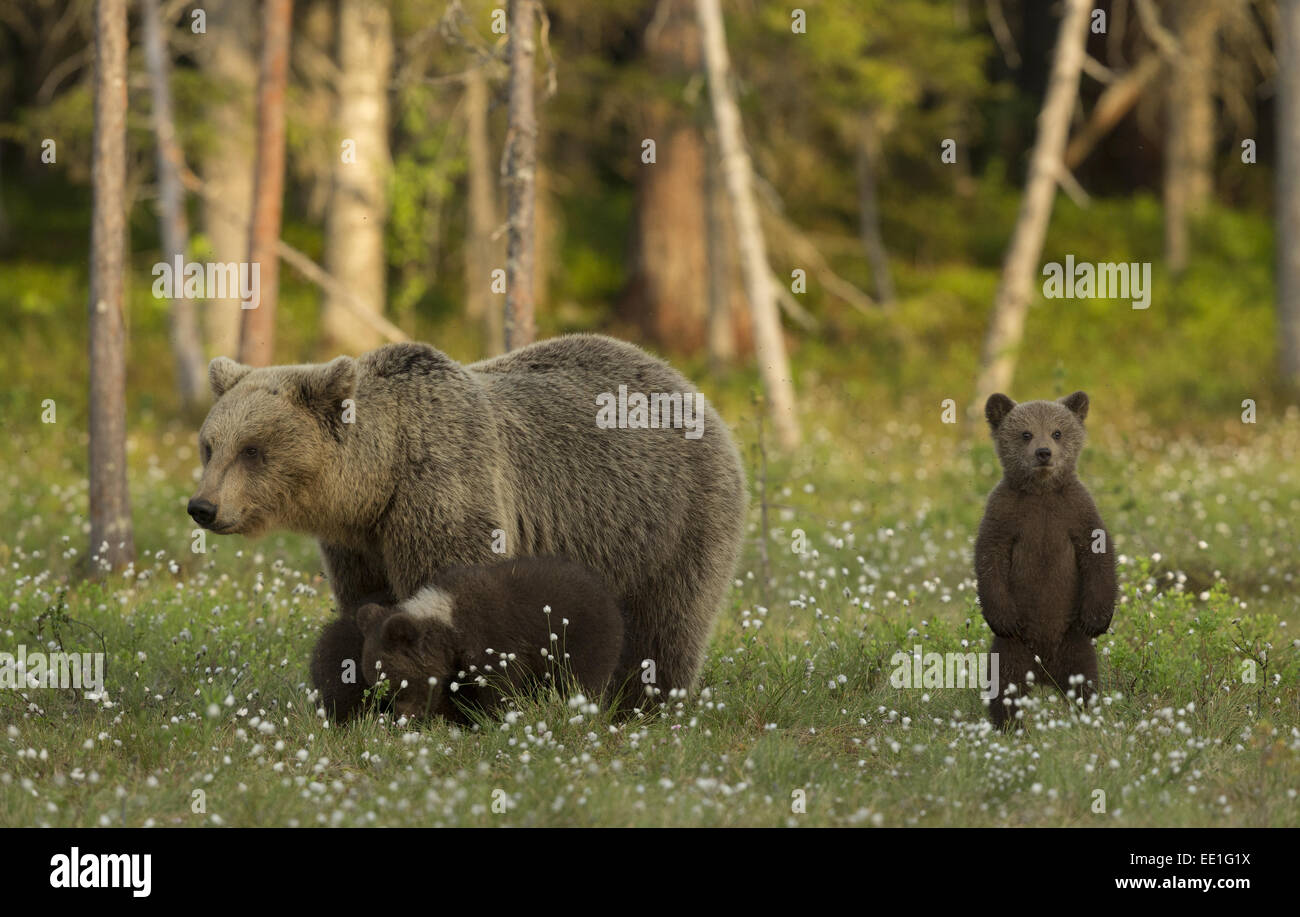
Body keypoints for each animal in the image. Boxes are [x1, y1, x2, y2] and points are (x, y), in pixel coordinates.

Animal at [355, 556, 625, 722]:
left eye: (399, 687)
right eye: (384, 693)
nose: (405, 718)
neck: (450, 625)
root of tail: (610, 597)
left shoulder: (491, 635)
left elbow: (500, 682)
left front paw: (496, 717)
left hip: (586, 636)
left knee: (582, 679)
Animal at [974, 391, 1116, 728]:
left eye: (1057, 432)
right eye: (1026, 433)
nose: (1043, 452)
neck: (1042, 491)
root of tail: (1043, 673)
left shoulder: (1076, 511)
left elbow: (1100, 556)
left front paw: (1097, 618)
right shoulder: (1004, 514)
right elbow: (989, 559)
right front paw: (1002, 616)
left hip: (1074, 644)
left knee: (1085, 683)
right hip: (1012, 649)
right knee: (1004, 685)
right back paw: (1009, 724)